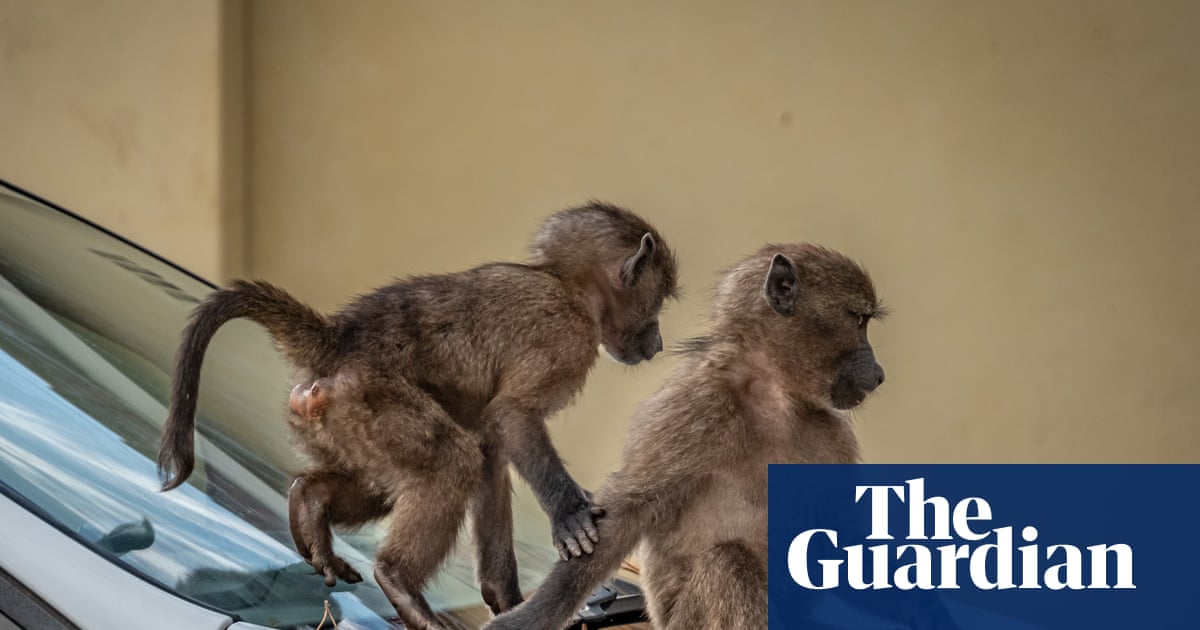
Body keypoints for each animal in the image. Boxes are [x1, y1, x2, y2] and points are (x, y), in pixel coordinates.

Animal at [156, 202, 678, 630]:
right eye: (656, 303)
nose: (657, 343)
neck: (567, 286)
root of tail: (337, 339)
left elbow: (492, 454)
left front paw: (507, 599)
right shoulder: (563, 336)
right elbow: (513, 415)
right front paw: (570, 516)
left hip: (330, 418)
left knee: (384, 481)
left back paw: (309, 502)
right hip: (369, 399)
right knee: (451, 463)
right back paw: (399, 582)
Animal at [482, 243, 892, 630]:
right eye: (858, 319)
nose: (878, 374)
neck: (775, 396)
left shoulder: (834, 434)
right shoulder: (691, 412)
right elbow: (624, 515)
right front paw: (523, 619)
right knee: (727, 564)